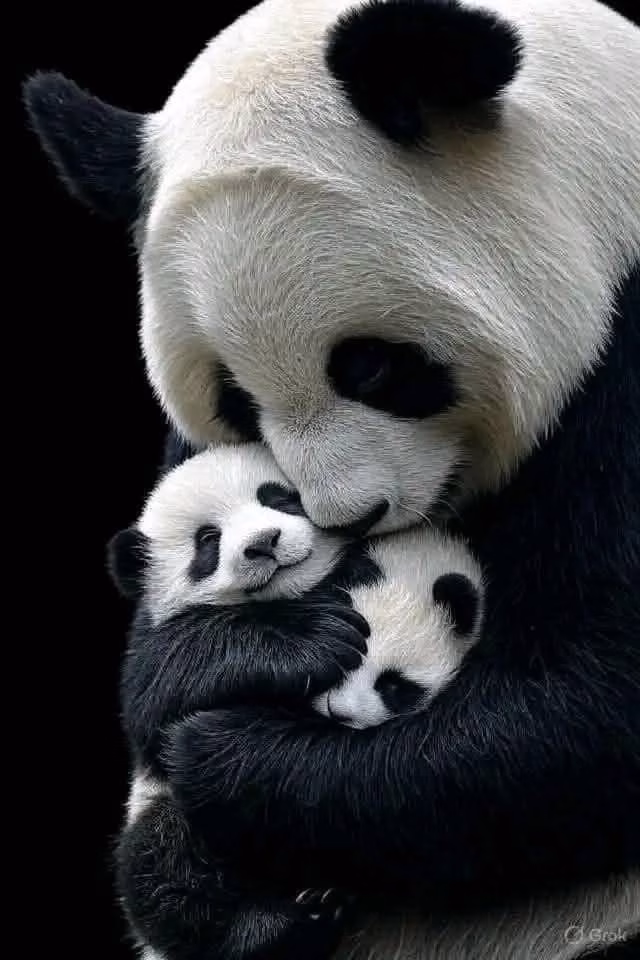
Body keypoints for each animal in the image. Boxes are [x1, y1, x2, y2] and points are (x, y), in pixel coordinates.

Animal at [110, 441, 485, 960]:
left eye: (281, 498)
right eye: (207, 540)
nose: (264, 541)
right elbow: (155, 692)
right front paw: (312, 639)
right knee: (162, 864)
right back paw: (278, 926)